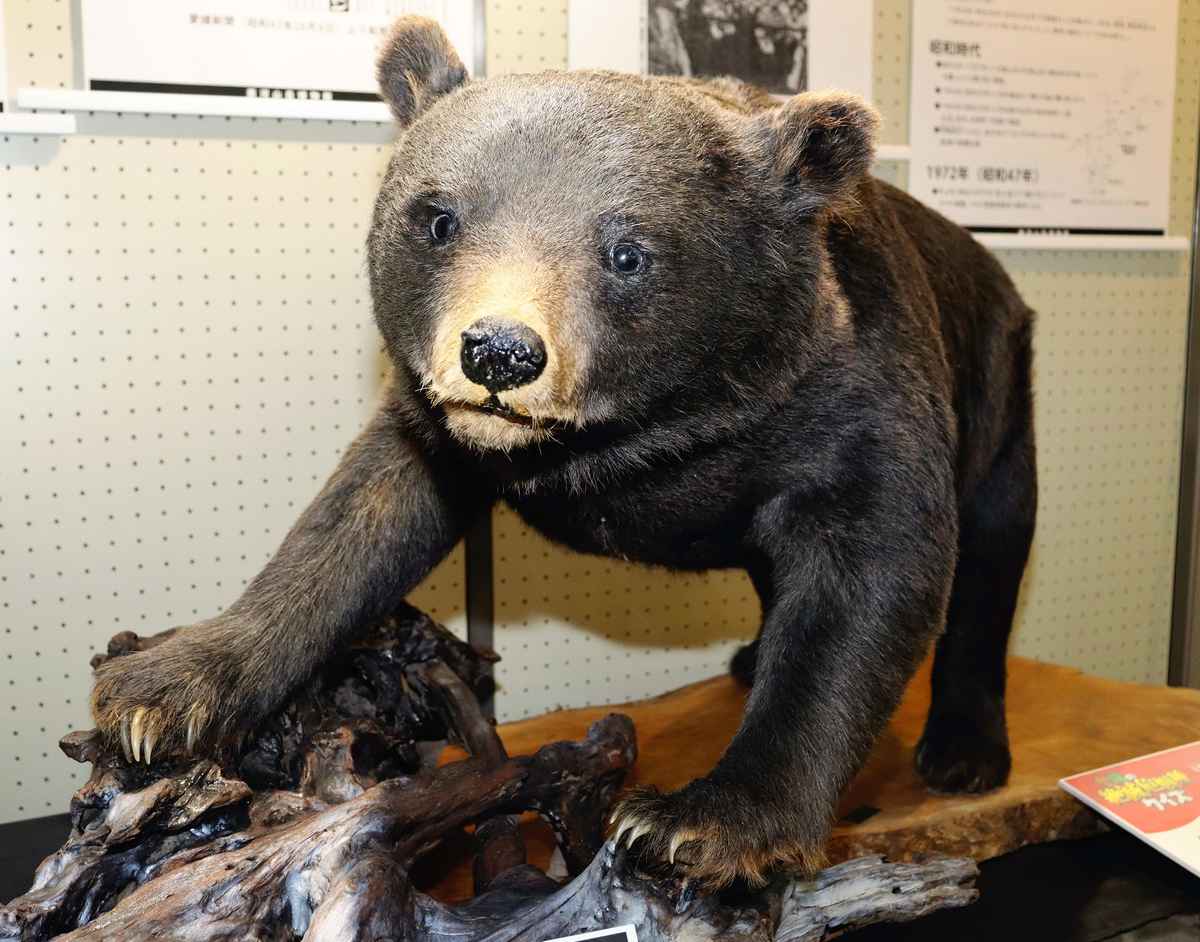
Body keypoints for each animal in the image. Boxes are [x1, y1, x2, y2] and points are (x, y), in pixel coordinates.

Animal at [89, 16, 1036, 890]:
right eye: (439, 219)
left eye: (627, 250)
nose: (500, 353)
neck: (651, 429)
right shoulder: (436, 430)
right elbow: (355, 524)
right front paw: (160, 689)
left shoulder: (848, 396)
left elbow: (873, 574)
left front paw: (701, 821)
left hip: (998, 383)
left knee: (994, 549)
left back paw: (964, 748)